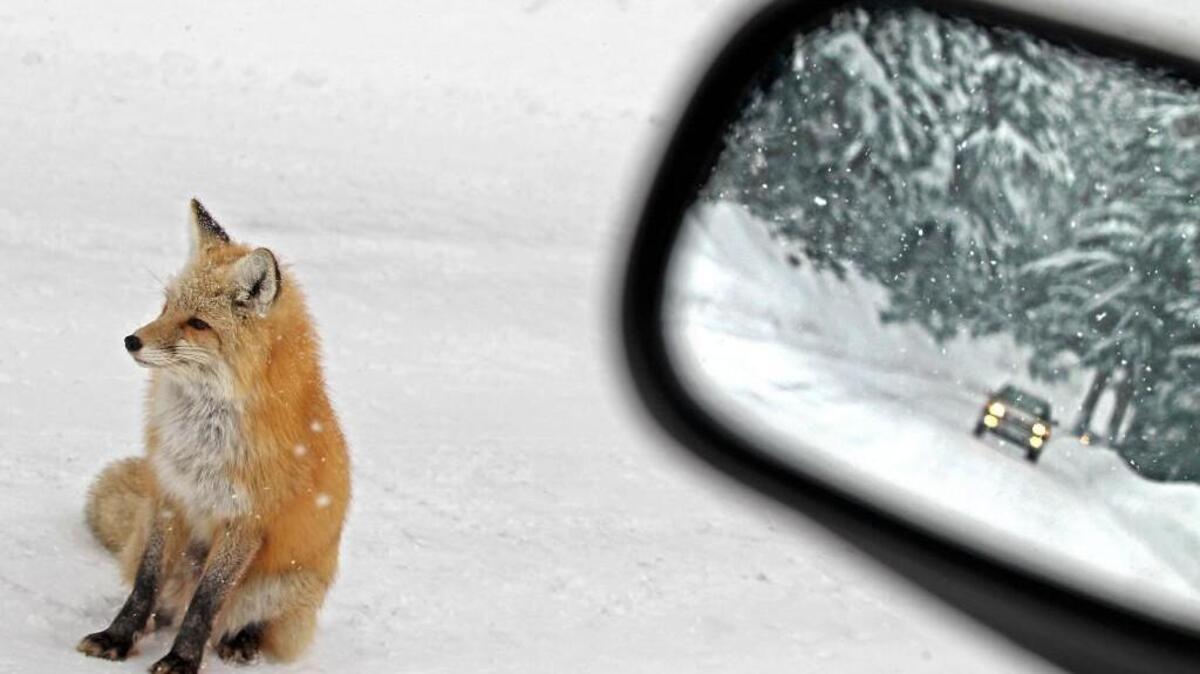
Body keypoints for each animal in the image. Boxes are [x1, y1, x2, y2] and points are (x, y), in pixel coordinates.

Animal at [77, 199, 350, 674]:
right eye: (167, 306)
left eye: (198, 323)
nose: (131, 341)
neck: (202, 437)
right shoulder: (171, 495)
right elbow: (145, 584)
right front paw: (118, 637)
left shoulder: (246, 519)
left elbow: (205, 603)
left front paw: (181, 660)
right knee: (165, 598)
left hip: (284, 584)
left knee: (239, 620)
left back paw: (240, 643)